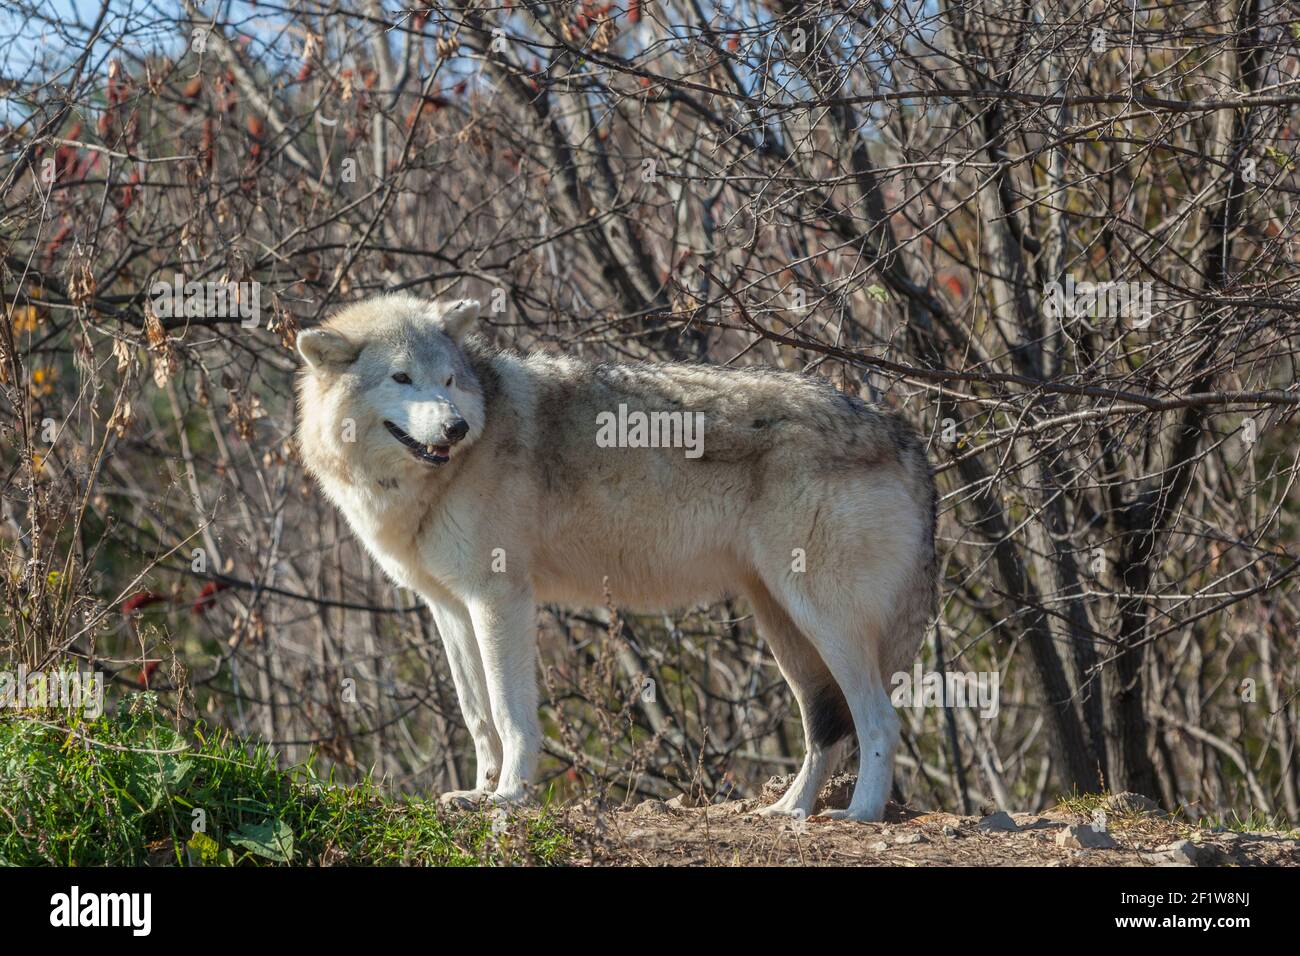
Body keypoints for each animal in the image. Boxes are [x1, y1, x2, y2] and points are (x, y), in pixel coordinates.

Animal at [295, 293, 935, 822]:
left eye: (449, 380)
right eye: (402, 378)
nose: (454, 427)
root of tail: (905, 436)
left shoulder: (500, 597)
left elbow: (509, 713)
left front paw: (509, 796)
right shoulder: (449, 607)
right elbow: (477, 715)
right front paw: (478, 792)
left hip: (824, 621)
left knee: (879, 719)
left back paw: (860, 814)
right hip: (785, 628)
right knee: (826, 729)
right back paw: (789, 810)